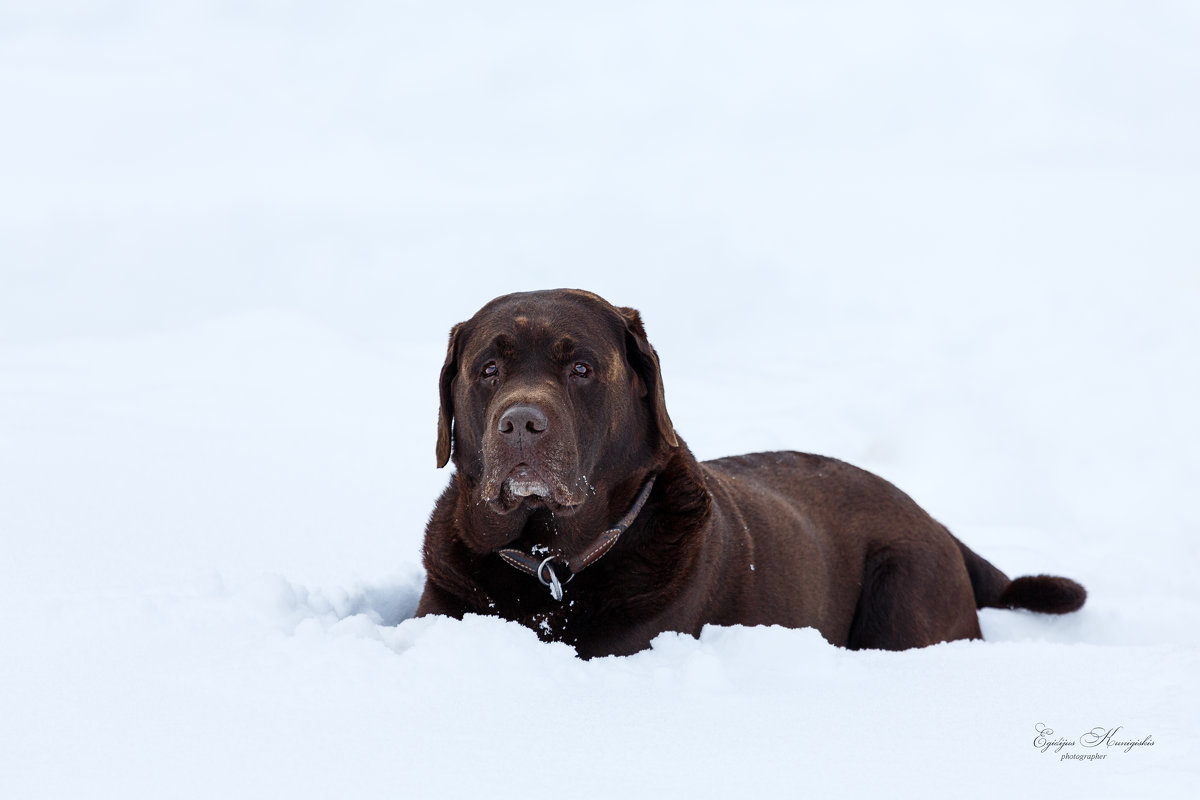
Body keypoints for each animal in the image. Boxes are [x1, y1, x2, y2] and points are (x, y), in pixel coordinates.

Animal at [415, 287, 1089, 657]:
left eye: (580, 368)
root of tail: (938, 523)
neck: (551, 565)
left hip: (906, 595)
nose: (521, 424)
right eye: (488, 370)